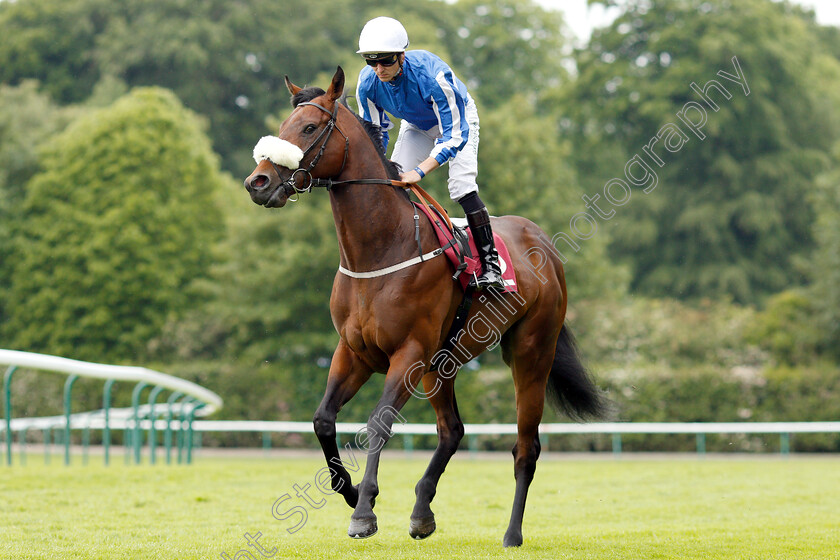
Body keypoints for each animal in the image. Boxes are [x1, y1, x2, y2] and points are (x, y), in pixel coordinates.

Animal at [243, 66, 604, 548]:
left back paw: (511, 533)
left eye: (310, 128)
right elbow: (322, 419)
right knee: (452, 430)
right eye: (284, 126)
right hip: (443, 362)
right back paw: (421, 512)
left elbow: (377, 423)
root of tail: (544, 244)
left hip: (530, 352)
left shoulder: (409, 353)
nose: (258, 182)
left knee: (526, 447)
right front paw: (352, 491)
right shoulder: (354, 351)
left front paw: (364, 512)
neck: (380, 250)